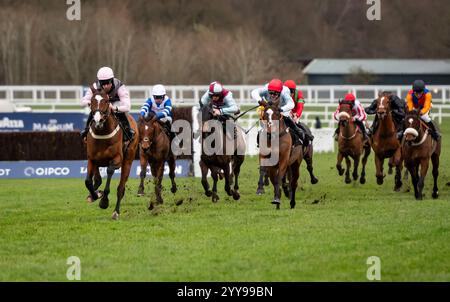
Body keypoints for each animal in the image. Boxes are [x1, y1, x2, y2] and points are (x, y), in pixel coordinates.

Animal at [84, 86, 139, 219]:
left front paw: (104, 201)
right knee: (97, 179)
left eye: (106, 101)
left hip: (128, 160)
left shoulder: (117, 159)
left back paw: (115, 212)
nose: (97, 120)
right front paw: (95, 195)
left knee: (121, 188)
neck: (102, 133)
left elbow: (109, 171)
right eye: (92, 101)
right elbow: (88, 181)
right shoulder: (91, 159)